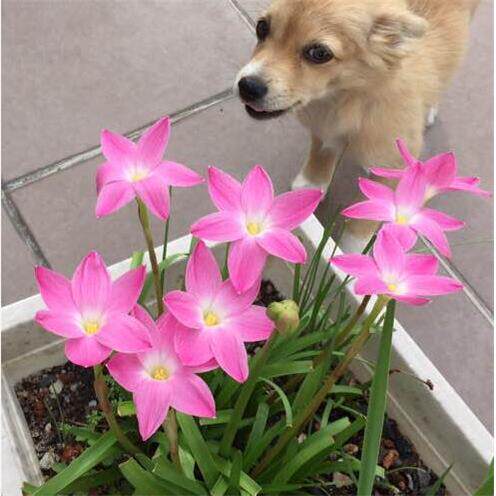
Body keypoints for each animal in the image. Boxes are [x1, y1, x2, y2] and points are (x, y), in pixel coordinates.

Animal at [234, 0, 478, 248]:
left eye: (319, 53)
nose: (248, 87)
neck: (348, 99)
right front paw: (312, 185)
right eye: (262, 27)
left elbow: (361, 228)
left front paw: (349, 254)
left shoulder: (398, 162)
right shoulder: (322, 124)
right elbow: (322, 146)